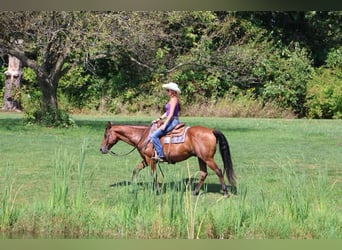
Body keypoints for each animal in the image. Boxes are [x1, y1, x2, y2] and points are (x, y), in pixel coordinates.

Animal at [100, 121, 236, 197]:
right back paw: (195, 192)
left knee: (218, 171)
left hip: (207, 158)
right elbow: (135, 170)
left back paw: (225, 192)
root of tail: (212, 131)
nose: (101, 149)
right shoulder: (147, 159)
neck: (143, 136)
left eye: (106, 135)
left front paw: (157, 191)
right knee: (203, 173)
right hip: (201, 158)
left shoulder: (150, 160)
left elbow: (153, 175)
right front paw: (133, 187)